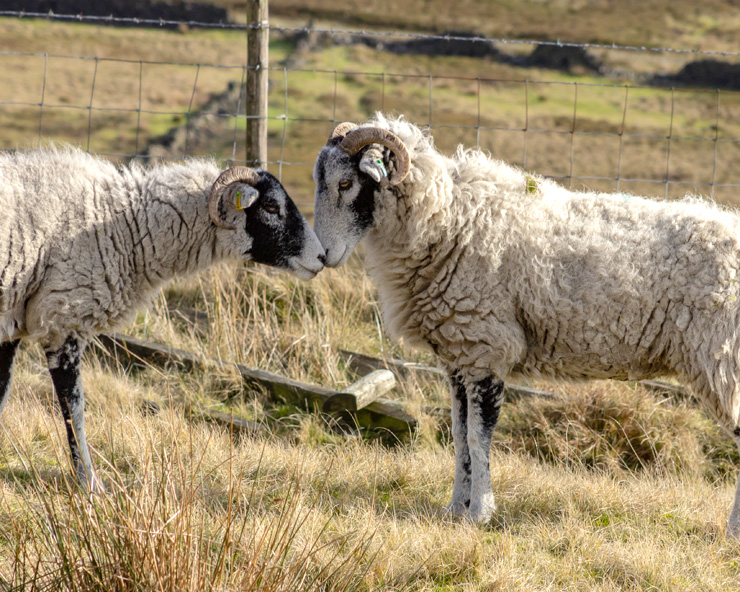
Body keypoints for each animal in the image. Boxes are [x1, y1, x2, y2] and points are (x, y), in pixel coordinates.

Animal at [0, 146, 324, 488]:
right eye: (272, 206)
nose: (321, 257)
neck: (125, 225)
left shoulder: (12, 322)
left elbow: (3, 392)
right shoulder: (64, 320)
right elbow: (73, 407)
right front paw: (89, 483)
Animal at [310, 113, 740, 536]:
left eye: (346, 183)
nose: (322, 256)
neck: (448, 220)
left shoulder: (485, 349)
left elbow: (478, 438)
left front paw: (480, 513)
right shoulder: (458, 356)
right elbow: (459, 437)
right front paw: (454, 509)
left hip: (724, 360)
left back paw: (733, 532)